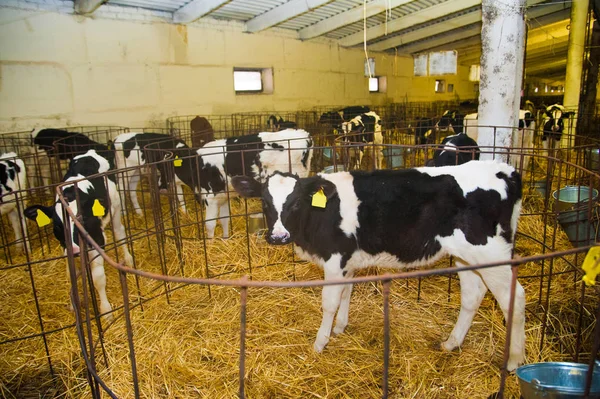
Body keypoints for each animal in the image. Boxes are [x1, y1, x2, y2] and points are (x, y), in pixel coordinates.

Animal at [23, 150, 132, 322]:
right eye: (57, 225)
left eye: (82, 220)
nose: (74, 251)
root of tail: (90, 152)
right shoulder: (65, 248)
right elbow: (71, 275)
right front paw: (73, 303)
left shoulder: (97, 241)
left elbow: (98, 278)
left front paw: (106, 311)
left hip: (115, 206)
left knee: (119, 232)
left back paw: (128, 259)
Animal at [171, 130, 312, 239]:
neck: (196, 164)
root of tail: (304, 135)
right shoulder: (223, 196)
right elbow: (224, 220)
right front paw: (225, 240)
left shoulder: (210, 196)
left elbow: (210, 224)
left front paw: (210, 246)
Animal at [233, 161, 524, 374]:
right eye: (264, 202)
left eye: (295, 203)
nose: (279, 236)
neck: (321, 213)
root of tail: (504, 169)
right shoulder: (347, 261)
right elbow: (346, 294)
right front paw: (340, 328)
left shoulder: (335, 258)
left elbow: (329, 302)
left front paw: (320, 342)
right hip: (468, 257)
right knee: (473, 295)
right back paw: (451, 343)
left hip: (490, 252)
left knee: (515, 297)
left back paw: (514, 361)